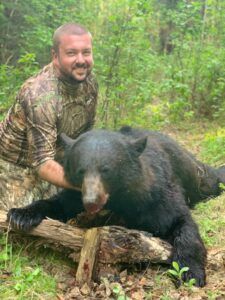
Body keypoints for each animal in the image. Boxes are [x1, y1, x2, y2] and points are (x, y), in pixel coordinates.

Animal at [7, 126, 225, 286]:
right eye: (80, 170)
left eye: (106, 170)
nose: (91, 201)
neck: (118, 199)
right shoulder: (75, 195)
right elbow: (57, 203)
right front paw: (21, 214)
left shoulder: (156, 194)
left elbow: (180, 222)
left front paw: (190, 273)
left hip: (191, 172)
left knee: (208, 180)